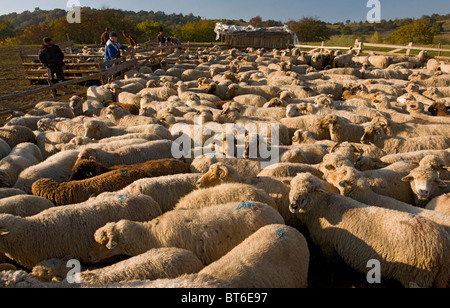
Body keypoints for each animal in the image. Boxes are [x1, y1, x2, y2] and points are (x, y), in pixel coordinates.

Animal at [288, 172, 450, 288]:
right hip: (440, 278)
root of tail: (443, 246)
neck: (322, 206)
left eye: (310, 191)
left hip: (417, 275)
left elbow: (333, 269)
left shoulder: (328, 246)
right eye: (292, 188)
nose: (293, 205)